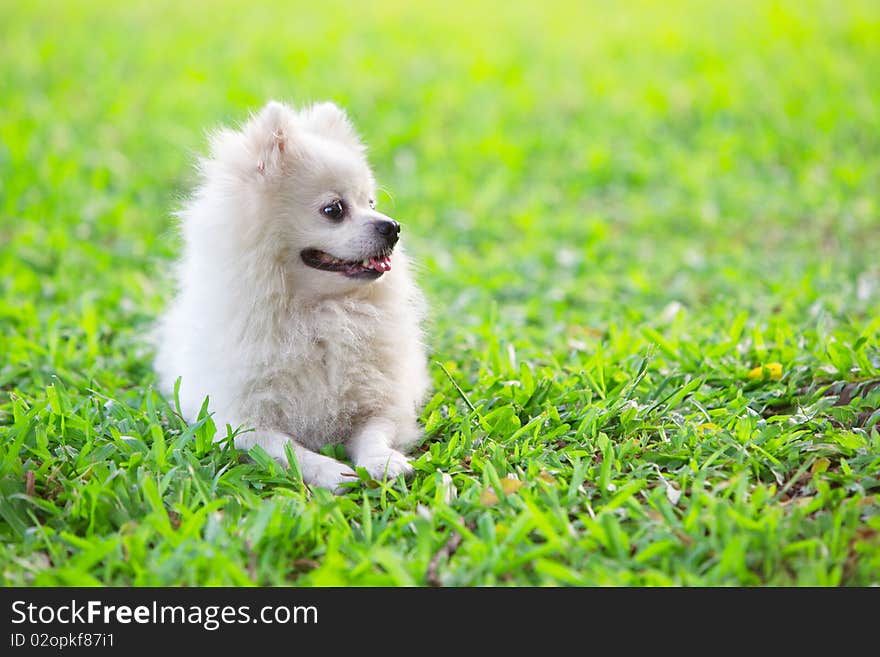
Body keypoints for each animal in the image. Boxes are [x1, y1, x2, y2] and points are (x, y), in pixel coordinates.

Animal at [158, 101, 434, 492]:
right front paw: (333, 471)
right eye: (334, 209)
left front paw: (382, 461)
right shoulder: (239, 422)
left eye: (370, 202)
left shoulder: (381, 399)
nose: (392, 227)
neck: (318, 314)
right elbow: (288, 449)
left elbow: (375, 430)